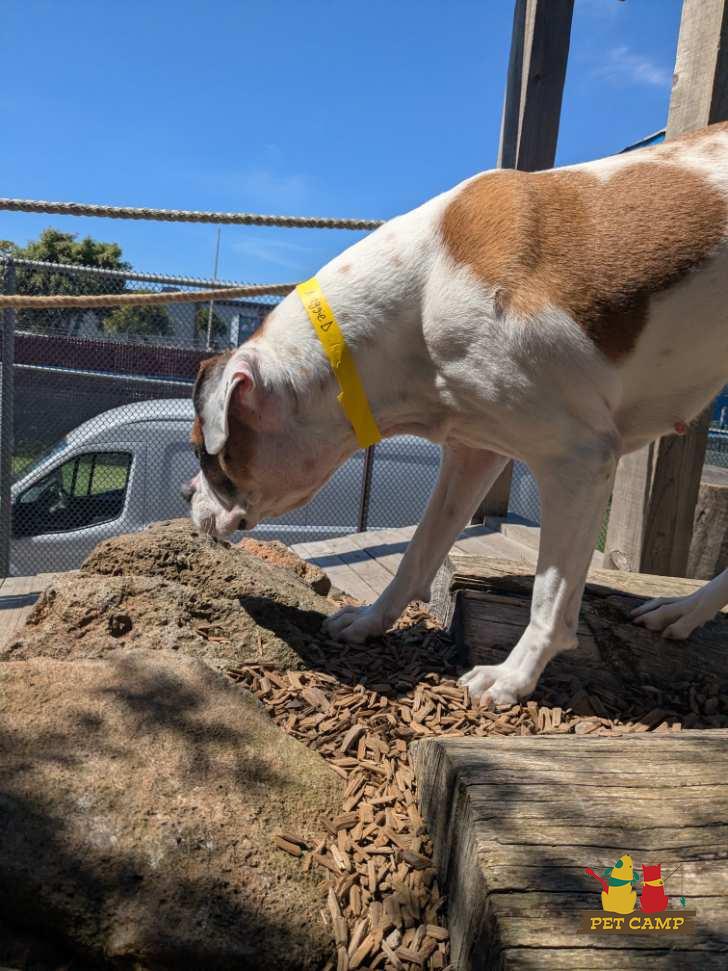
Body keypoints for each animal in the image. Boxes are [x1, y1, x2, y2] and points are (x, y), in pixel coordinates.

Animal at [185, 121, 728, 706]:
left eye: (207, 456)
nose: (185, 493)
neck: (420, 294)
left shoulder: (579, 460)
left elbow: (550, 595)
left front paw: (514, 677)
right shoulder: (473, 452)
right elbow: (418, 550)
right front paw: (370, 621)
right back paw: (682, 611)